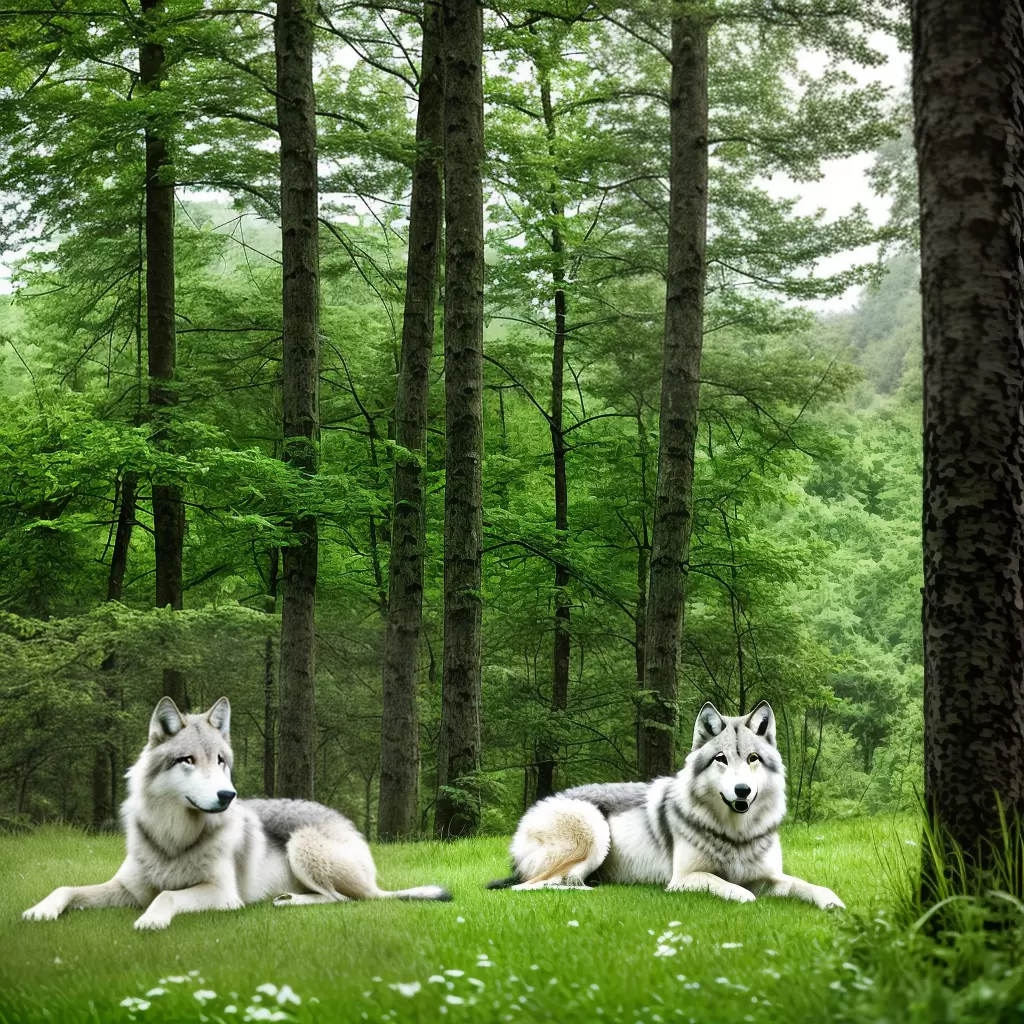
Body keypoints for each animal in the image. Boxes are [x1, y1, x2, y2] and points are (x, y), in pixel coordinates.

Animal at [23, 697, 450, 930]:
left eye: (220, 761)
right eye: (188, 760)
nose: (228, 796)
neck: (173, 839)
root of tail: (343, 818)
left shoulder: (222, 894)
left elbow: (167, 895)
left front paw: (151, 919)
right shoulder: (126, 889)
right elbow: (65, 887)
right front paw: (40, 910)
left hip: (304, 846)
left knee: (346, 900)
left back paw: (291, 902)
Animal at [488, 701, 844, 909]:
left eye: (753, 759)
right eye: (721, 759)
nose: (742, 791)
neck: (735, 834)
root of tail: (534, 809)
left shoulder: (771, 876)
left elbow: (802, 883)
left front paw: (829, 899)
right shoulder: (683, 879)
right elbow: (724, 883)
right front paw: (743, 894)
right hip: (594, 831)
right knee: (532, 886)